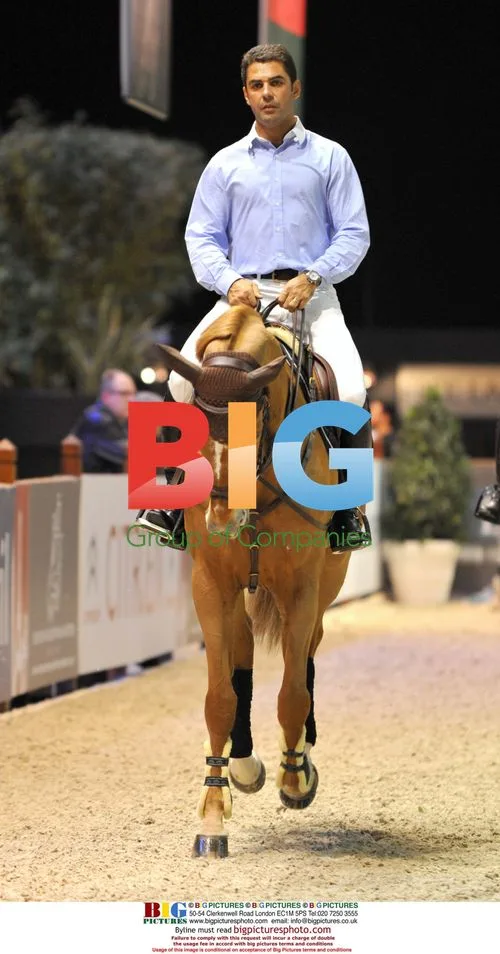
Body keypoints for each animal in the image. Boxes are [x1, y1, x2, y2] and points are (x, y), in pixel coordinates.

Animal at [160, 303, 351, 858]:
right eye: (191, 424)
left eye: (256, 418)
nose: (223, 517)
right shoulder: (210, 584)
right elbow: (220, 697)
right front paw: (213, 813)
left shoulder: (302, 587)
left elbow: (292, 692)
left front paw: (296, 779)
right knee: (242, 655)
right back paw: (242, 766)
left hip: (325, 585)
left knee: (306, 654)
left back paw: (298, 757)